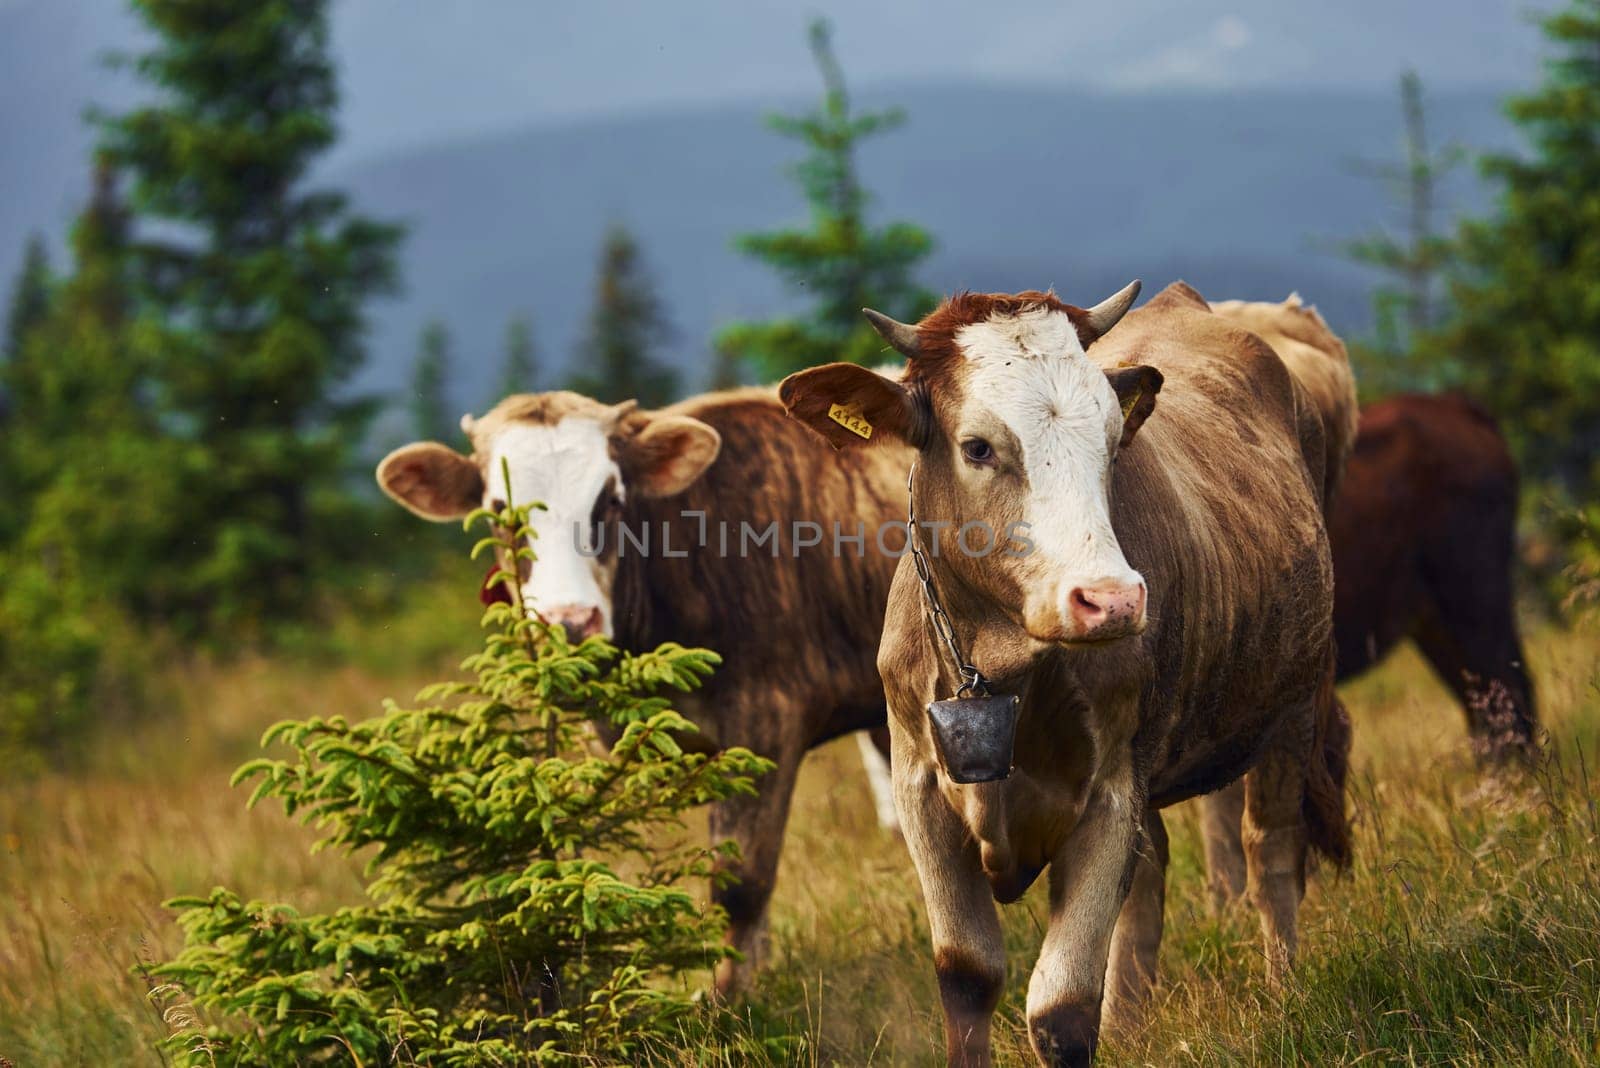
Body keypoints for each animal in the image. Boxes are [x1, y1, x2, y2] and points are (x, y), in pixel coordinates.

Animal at [366, 388, 908, 997]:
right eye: (499, 512)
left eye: (610, 501)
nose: (568, 623)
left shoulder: (767, 721)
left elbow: (741, 881)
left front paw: (726, 994)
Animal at [780, 279, 1356, 1061]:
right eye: (978, 446)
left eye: (1112, 442)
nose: (1110, 599)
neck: (1001, 669)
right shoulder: (920, 795)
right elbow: (967, 979)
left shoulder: (1110, 793)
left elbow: (1062, 1009)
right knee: (1154, 873)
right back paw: (1132, 1027)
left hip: (1293, 705)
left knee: (1270, 850)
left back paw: (1282, 992)